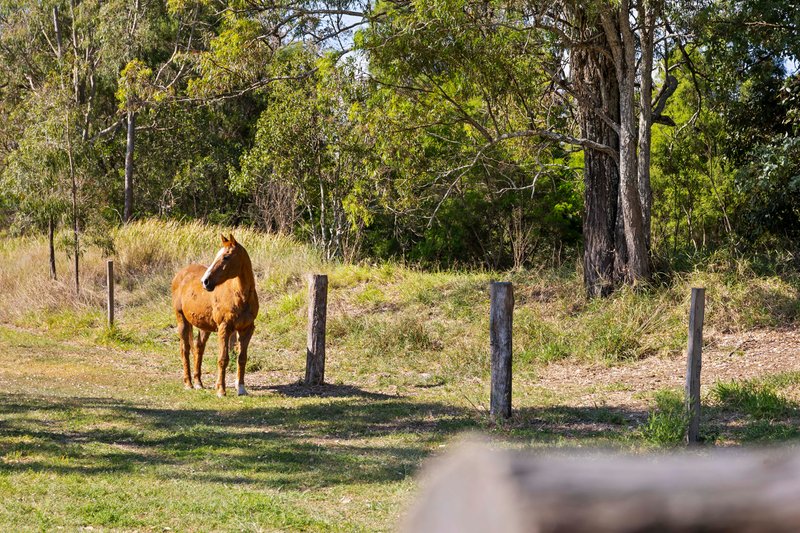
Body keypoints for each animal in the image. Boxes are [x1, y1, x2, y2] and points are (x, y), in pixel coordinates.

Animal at [171, 233, 260, 394]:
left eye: (226, 257)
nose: (205, 282)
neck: (240, 296)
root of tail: (181, 274)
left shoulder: (247, 329)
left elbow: (242, 358)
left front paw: (241, 388)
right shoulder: (224, 328)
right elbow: (223, 359)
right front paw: (221, 390)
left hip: (204, 326)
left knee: (199, 348)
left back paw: (198, 382)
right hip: (182, 320)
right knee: (185, 349)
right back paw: (188, 383)